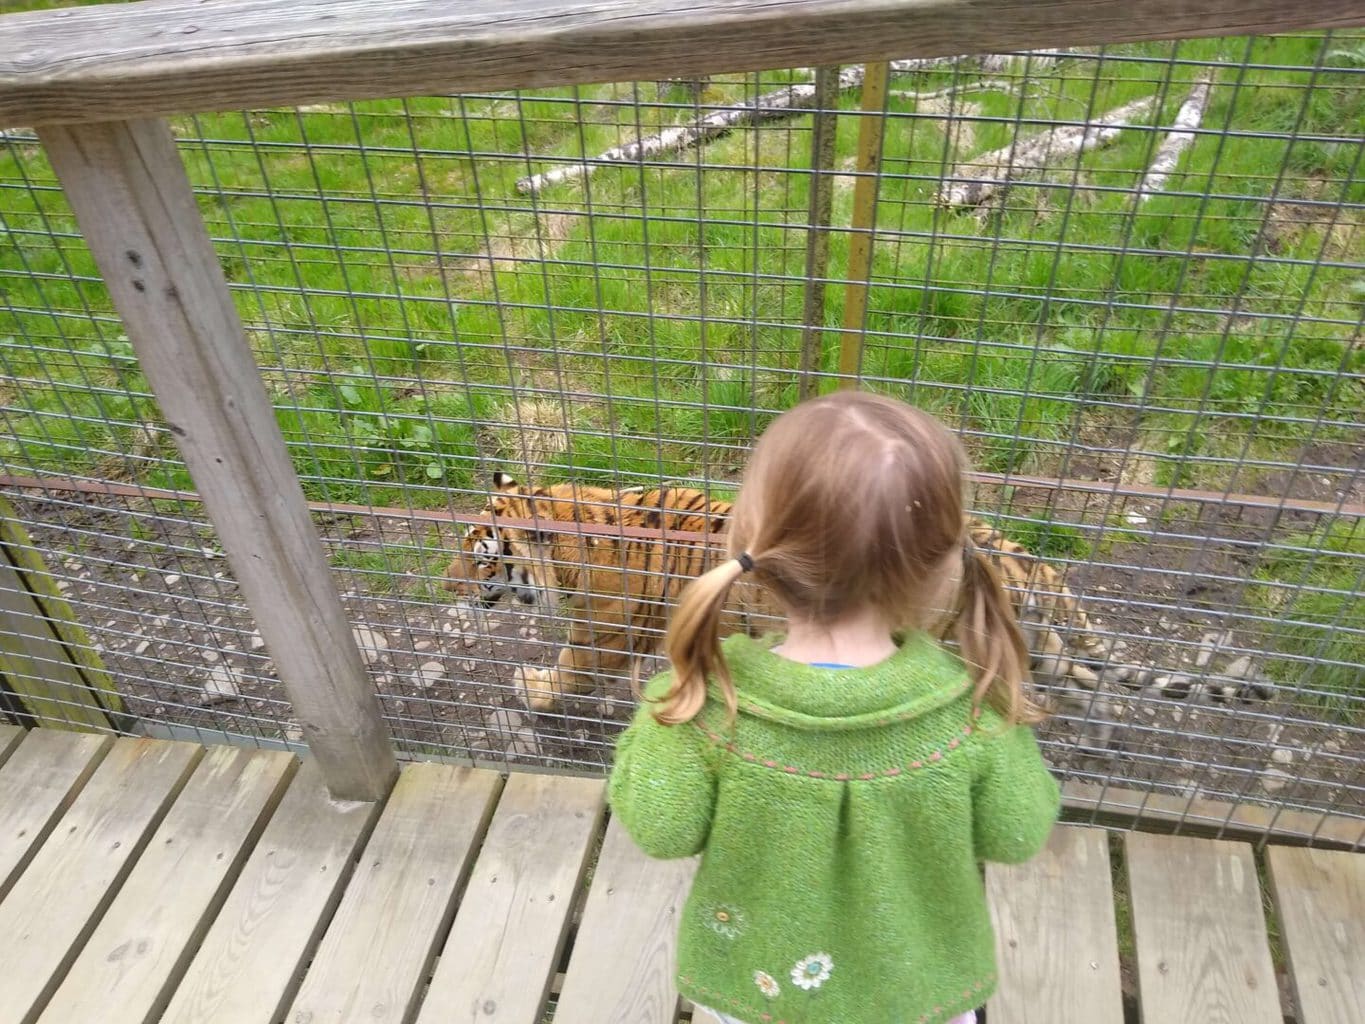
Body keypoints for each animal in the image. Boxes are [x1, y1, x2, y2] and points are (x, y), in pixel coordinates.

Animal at [444, 472, 1266, 748]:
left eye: (478, 554)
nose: (444, 584)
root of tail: (1010, 550)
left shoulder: (601, 637)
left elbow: (568, 668)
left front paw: (530, 690)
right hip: (1043, 642)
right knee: (1080, 688)